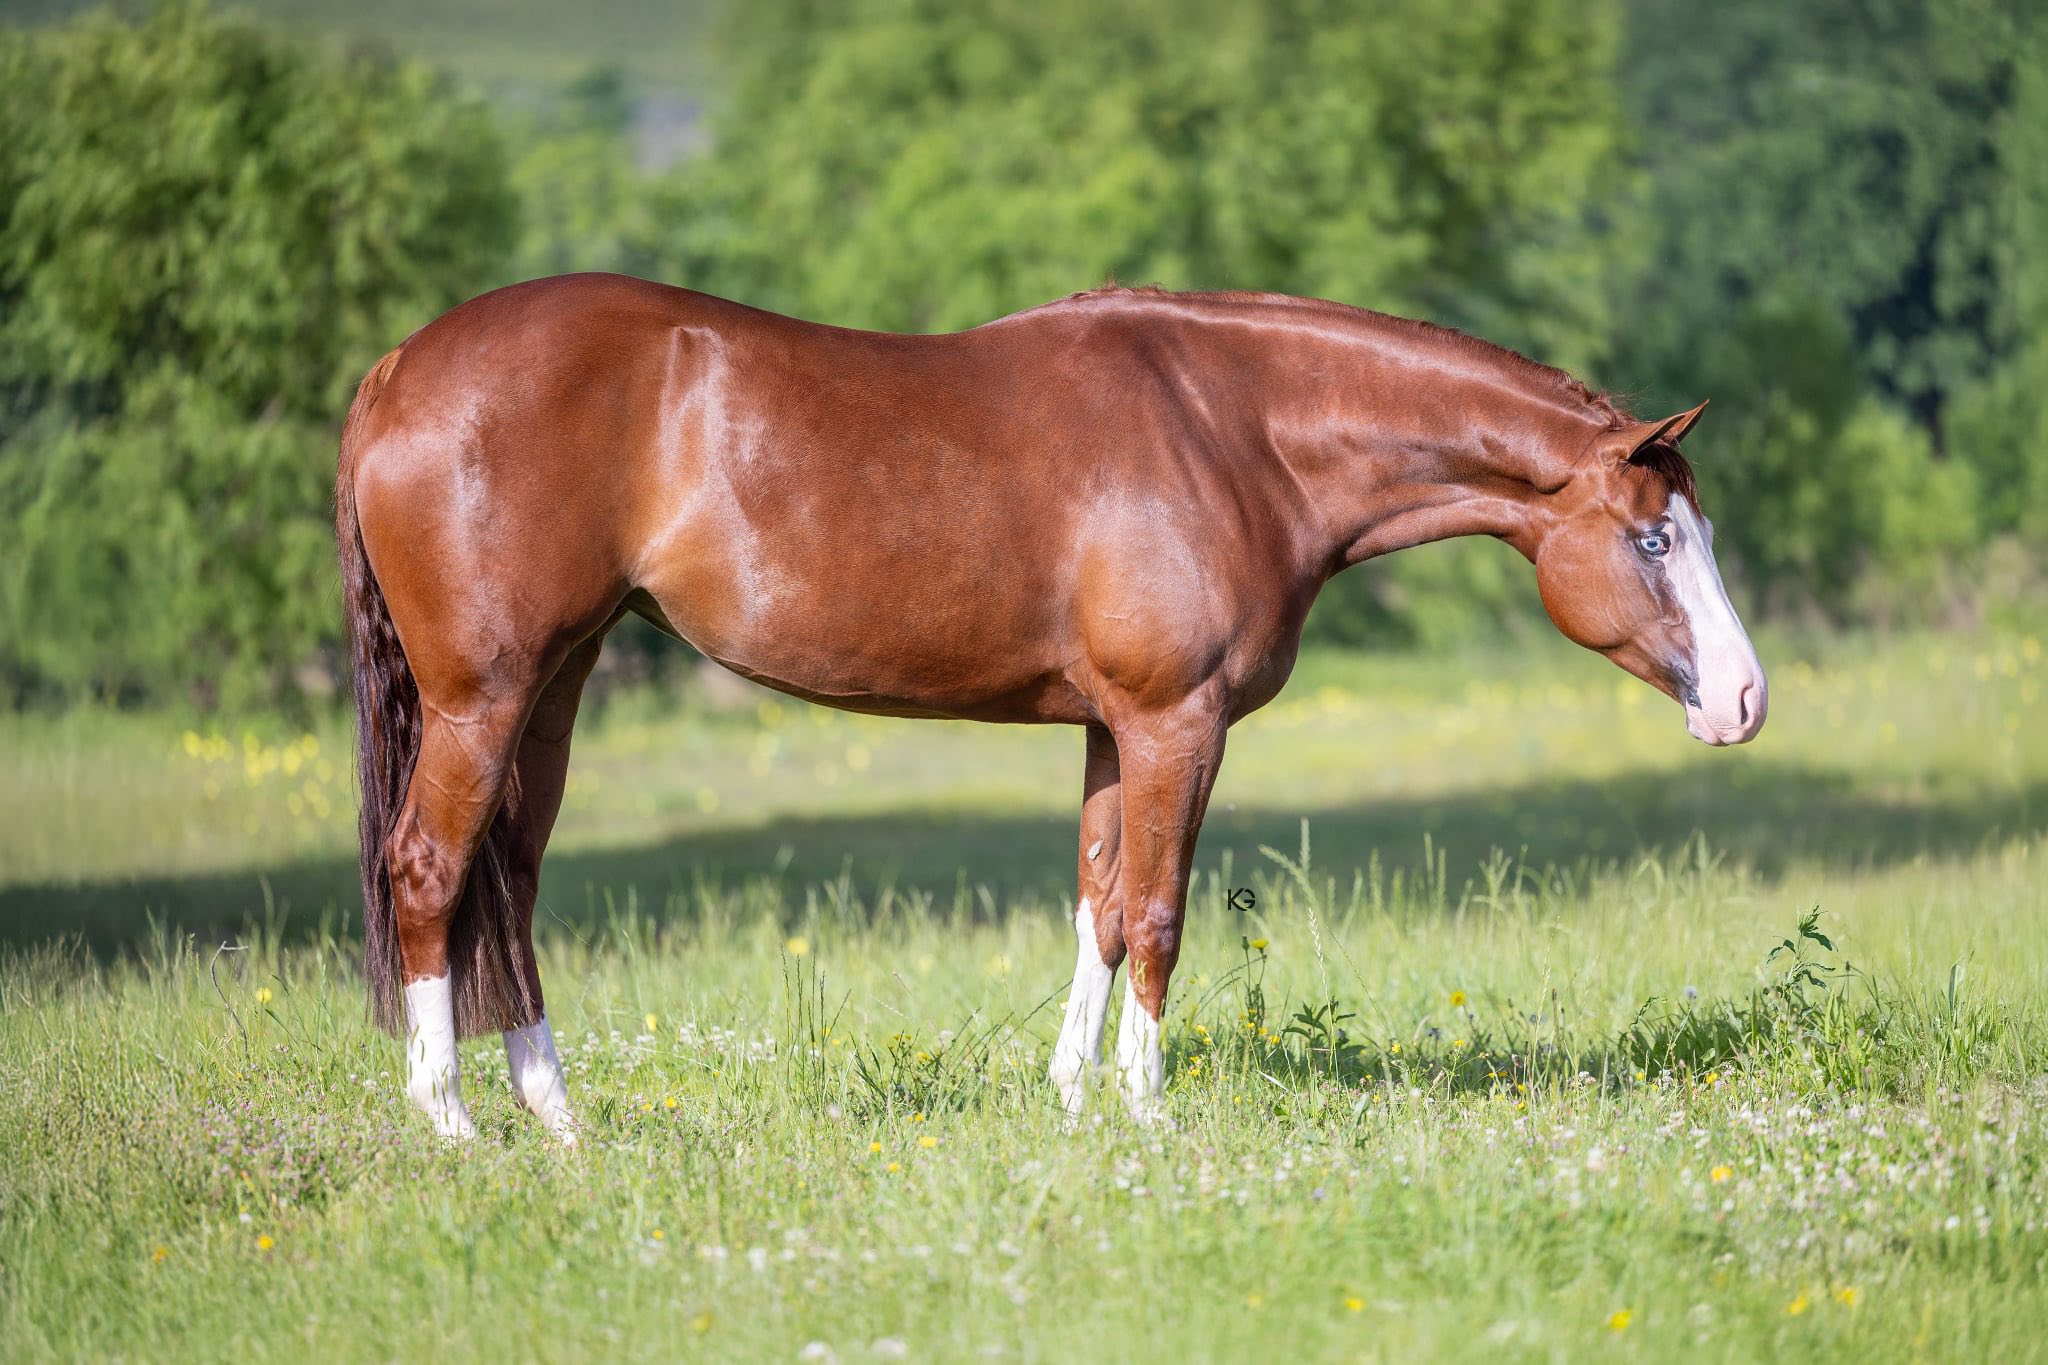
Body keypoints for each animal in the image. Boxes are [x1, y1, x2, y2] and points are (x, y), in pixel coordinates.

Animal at [334, 274, 1767, 1139]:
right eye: (1652, 539)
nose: (1745, 702)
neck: (1233, 430)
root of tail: (399, 366)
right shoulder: (1174, 721)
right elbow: (1158, 914)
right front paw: (1146, 1111)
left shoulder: (1107, 728)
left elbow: (1099, 905)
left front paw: (1074, 1098)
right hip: (481, 696)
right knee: (430, 868)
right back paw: (447, 1117)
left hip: (556, 685)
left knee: (510, 880)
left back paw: (557, 1116)